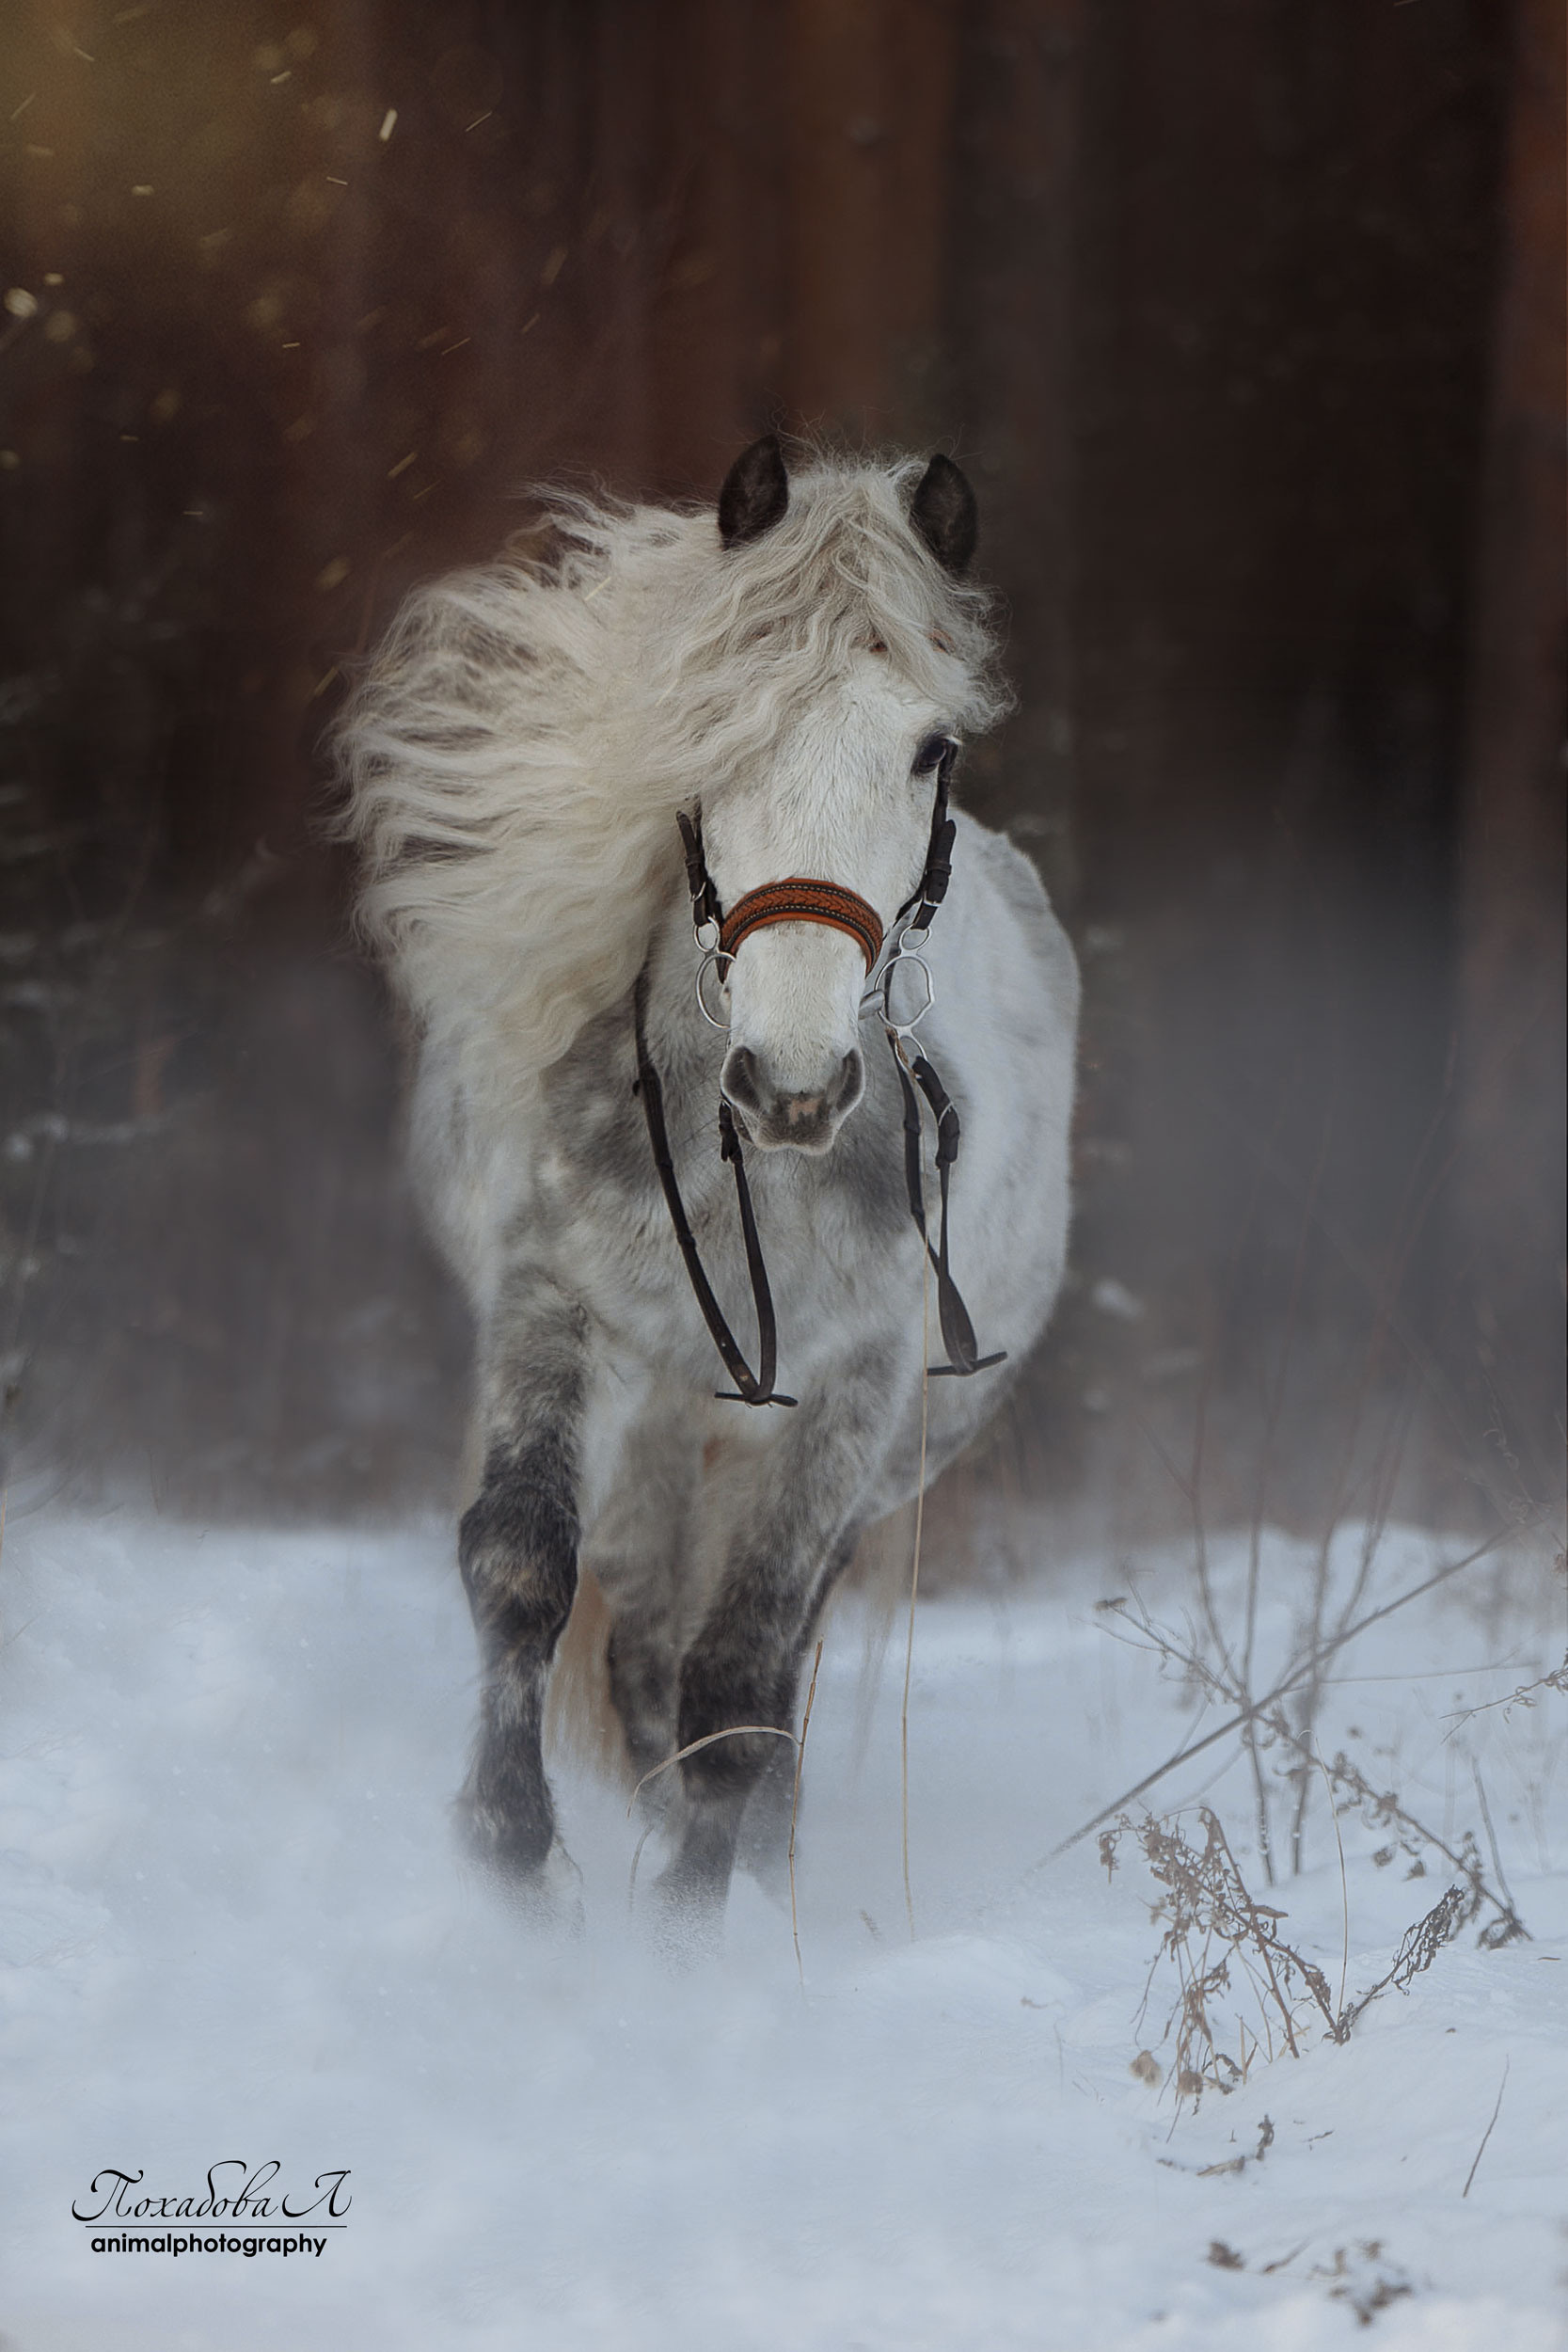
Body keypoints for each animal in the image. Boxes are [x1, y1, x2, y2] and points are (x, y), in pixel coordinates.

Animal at [337, 435, 1080, 1925]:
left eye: (931, 749)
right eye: (713, 730)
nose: (789, 1084)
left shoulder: (851, 1386)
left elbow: (740, 1669)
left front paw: (691, 1932)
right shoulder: (557, 1305)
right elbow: (519, 1560)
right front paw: (511, 1862)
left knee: (766, 1656)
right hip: (661, 1432)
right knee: (638, 1638)